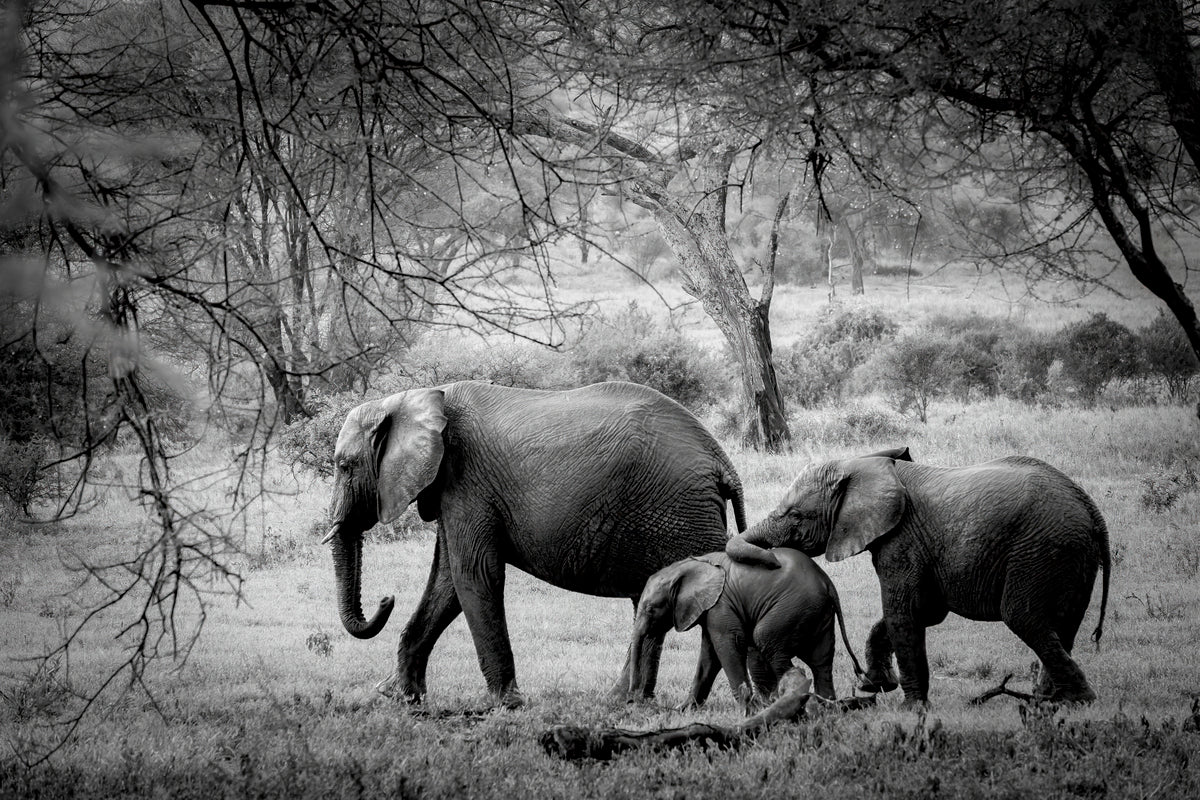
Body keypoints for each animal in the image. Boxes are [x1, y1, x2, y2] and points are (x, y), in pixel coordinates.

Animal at [324, 381, 744, 705]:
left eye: (344, 466)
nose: (386, 599)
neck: (414, 399)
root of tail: (722, 461)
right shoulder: (451, 488)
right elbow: (446, 582)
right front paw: (397, 695)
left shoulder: (465, 482)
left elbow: (473, 574)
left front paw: (506, 703)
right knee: (647, 602)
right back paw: (623, 700)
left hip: (679, 514)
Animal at [628, 546, 864, 710]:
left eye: (650, 609)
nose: (633, 700)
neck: (688, 565)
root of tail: (827, 582)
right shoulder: (710, 609)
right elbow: (709, 655)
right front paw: (684, 709)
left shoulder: (721, 605)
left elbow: (727, 646)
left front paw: (748, 709)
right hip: (817, 613)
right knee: (821, 660)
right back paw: (826, 707)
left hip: (794, 609)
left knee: (766, 641)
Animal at [720, 453, 1104, 705]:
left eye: (797, 515)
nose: (773, 560)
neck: (862, 464)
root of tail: (1089, 506)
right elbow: (923, 613)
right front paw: (875, 686)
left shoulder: (901, 539)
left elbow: (903, 613)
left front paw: (910, 708)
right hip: (1069, 553)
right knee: (1065, 622)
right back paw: (1053, 699)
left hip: (1041, 548)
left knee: (1024, 618)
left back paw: (1077, 700)